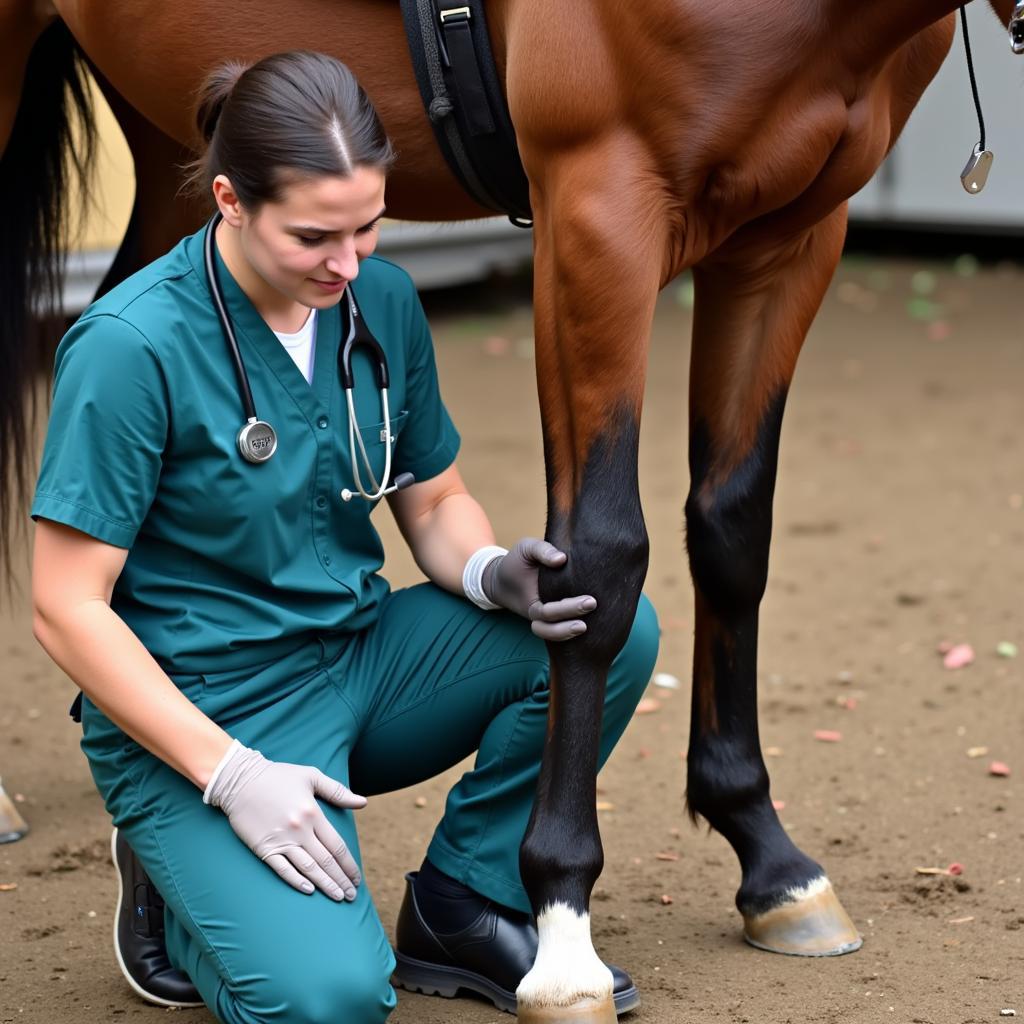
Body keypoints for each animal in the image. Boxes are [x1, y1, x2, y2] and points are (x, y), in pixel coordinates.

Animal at [4, 2, 1019, 1024]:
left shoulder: (790, 235)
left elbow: (731, 528)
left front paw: (768, 860)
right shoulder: (597, 213)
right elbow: (602, 557)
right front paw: (564, 940)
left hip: (178, 127)